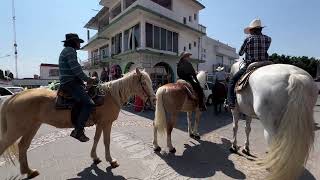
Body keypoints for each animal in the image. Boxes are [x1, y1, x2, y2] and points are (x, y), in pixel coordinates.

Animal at [0, 68, 155, 179]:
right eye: (143, 83)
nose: (153, 99)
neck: (110, 96)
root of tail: (13, 97)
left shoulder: (100, 123)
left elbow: (97, 139)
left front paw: (95, 157)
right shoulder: (106, 123)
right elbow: (106, 141)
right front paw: (111, 160)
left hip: (32, 126)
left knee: (23, 146)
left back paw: (29, 171)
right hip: (17, 129)